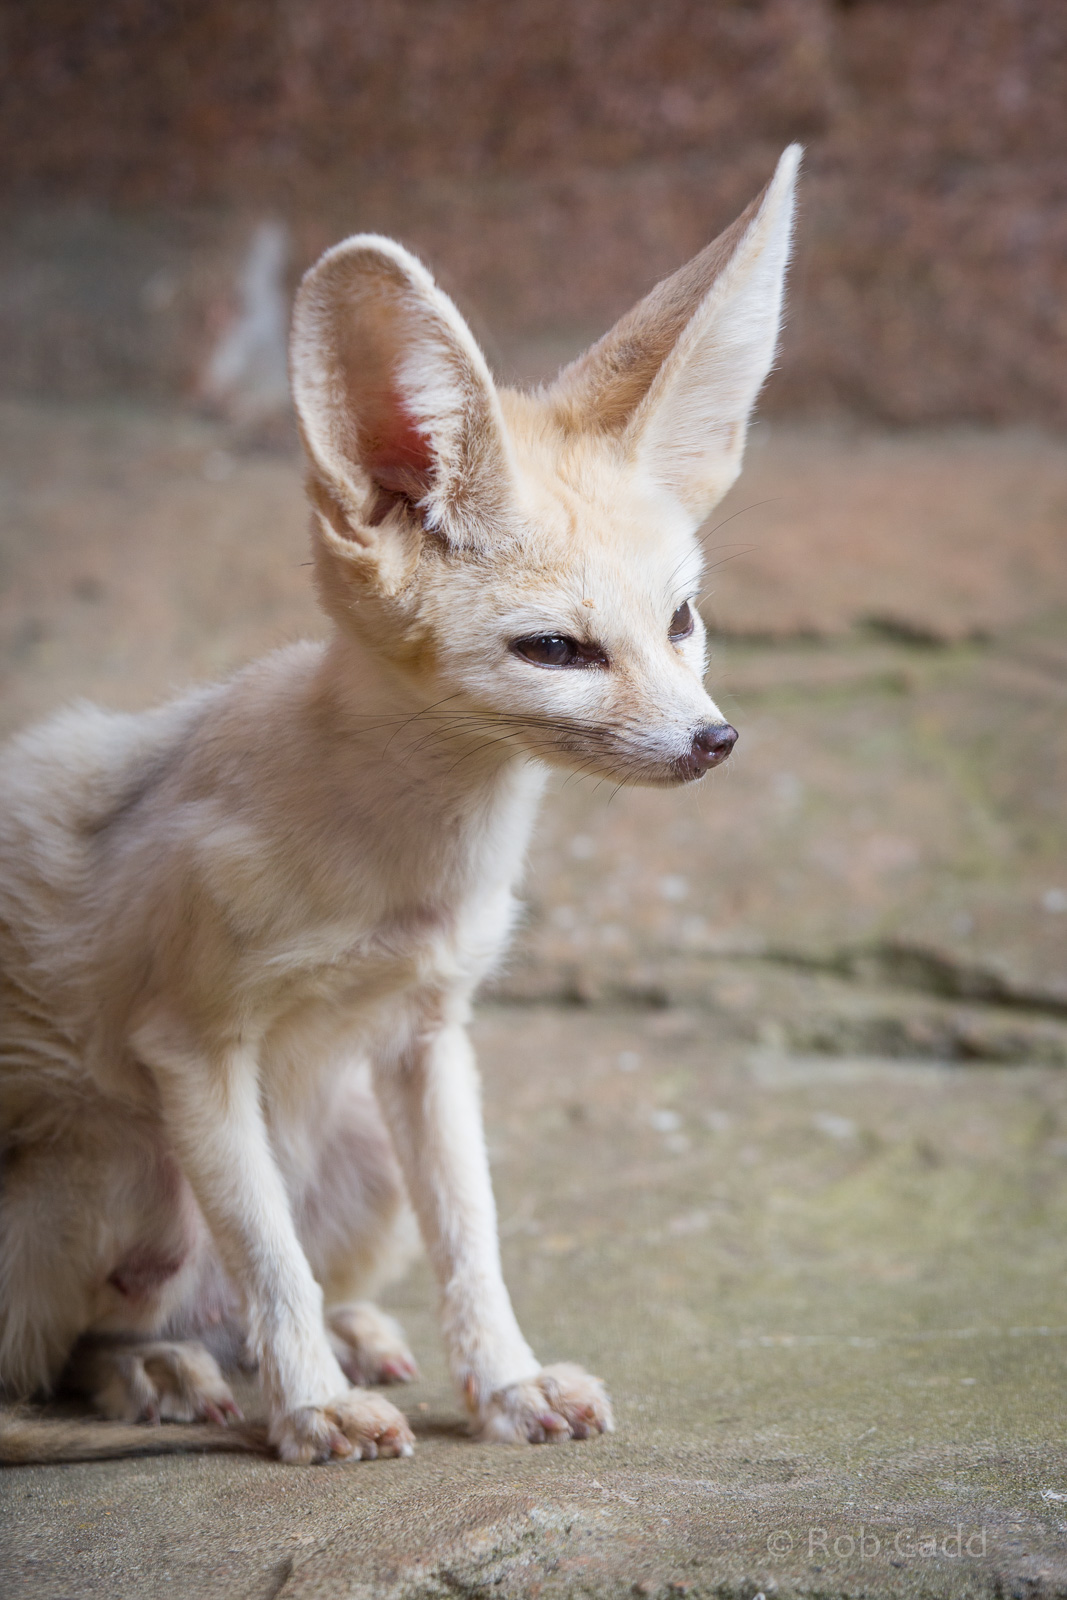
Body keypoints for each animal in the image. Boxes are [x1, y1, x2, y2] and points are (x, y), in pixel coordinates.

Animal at [0, 146, 799, 1464]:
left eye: (679, 620)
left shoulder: (431, 1030)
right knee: (71, 1350)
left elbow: (470, 1237)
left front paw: (506, 1383)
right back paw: (165, 1369)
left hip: (349, 1146)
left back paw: (322, 1336)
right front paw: (311, 1407)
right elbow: (269, 1259)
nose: (713, 741)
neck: (397, 869)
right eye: (556, 648)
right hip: (119, 1166)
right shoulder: (190, 1047)